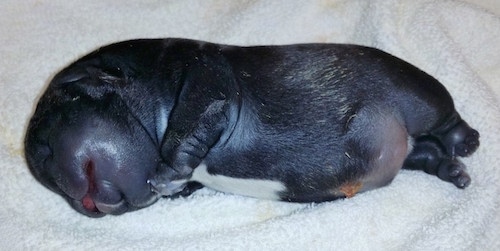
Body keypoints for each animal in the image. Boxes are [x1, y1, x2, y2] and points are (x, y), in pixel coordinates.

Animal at [24, 38, 480, 217]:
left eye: (45, 151)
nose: (78, 203)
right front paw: (177, 184)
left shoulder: (204, 75)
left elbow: (193, 117)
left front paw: (169, 170)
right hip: (410, 144)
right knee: (424, 152)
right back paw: (449, 168)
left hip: (415, 96)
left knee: (443, 117)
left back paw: (464, 141)